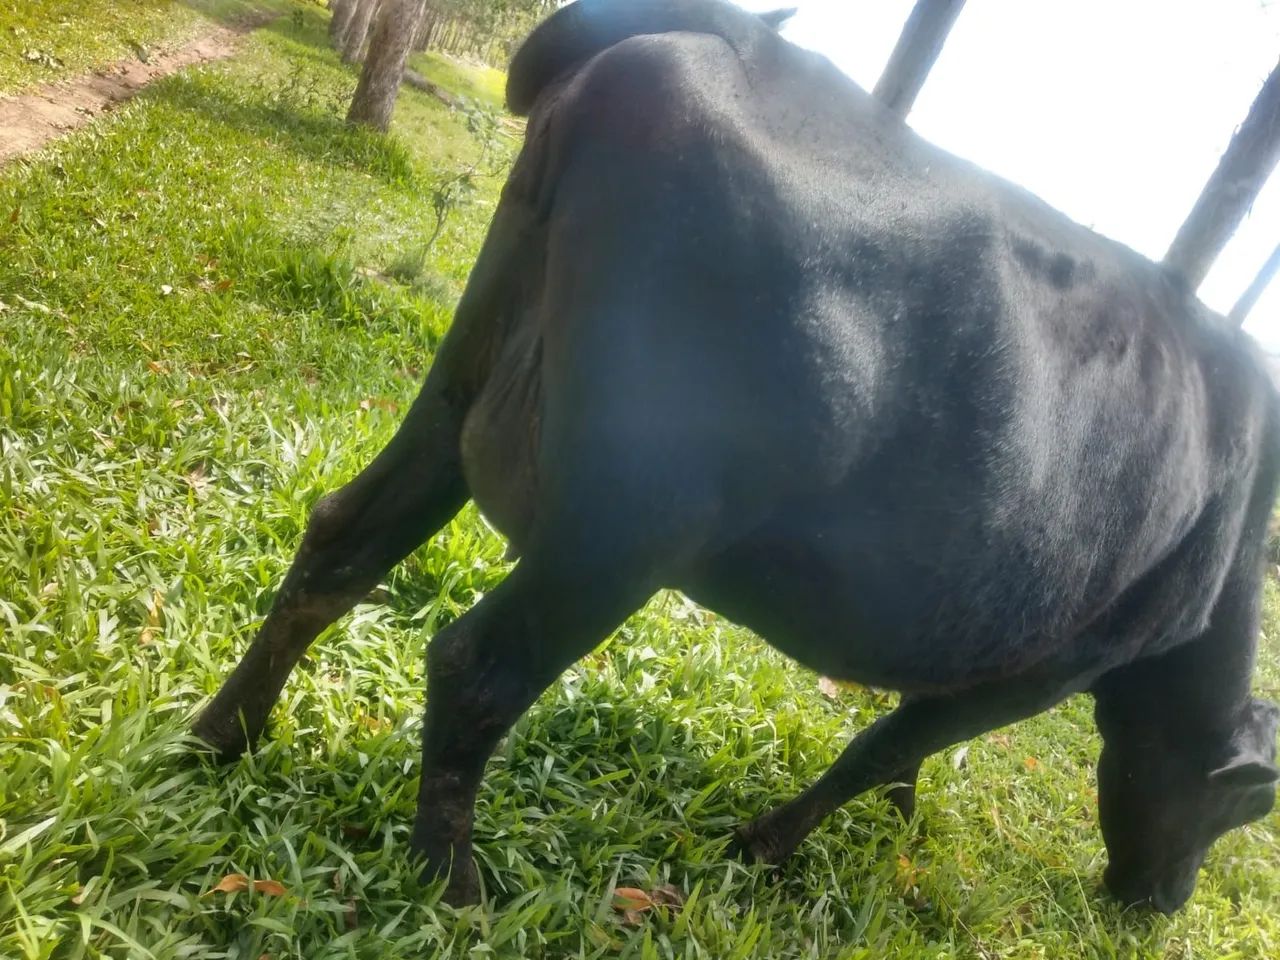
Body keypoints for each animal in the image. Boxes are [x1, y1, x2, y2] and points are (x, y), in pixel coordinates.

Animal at [194, 0, 1280, 915]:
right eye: (1238, 806)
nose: (1161, 901)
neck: (1230, 541)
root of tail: (732, 34)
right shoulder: (1055, 663)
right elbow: (882, 743)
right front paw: (766, 845)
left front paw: (891, 818)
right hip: (630, 516)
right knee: (479, 665)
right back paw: (452, 887)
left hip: (465, 383)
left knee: (342, 539)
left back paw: (224, 736)